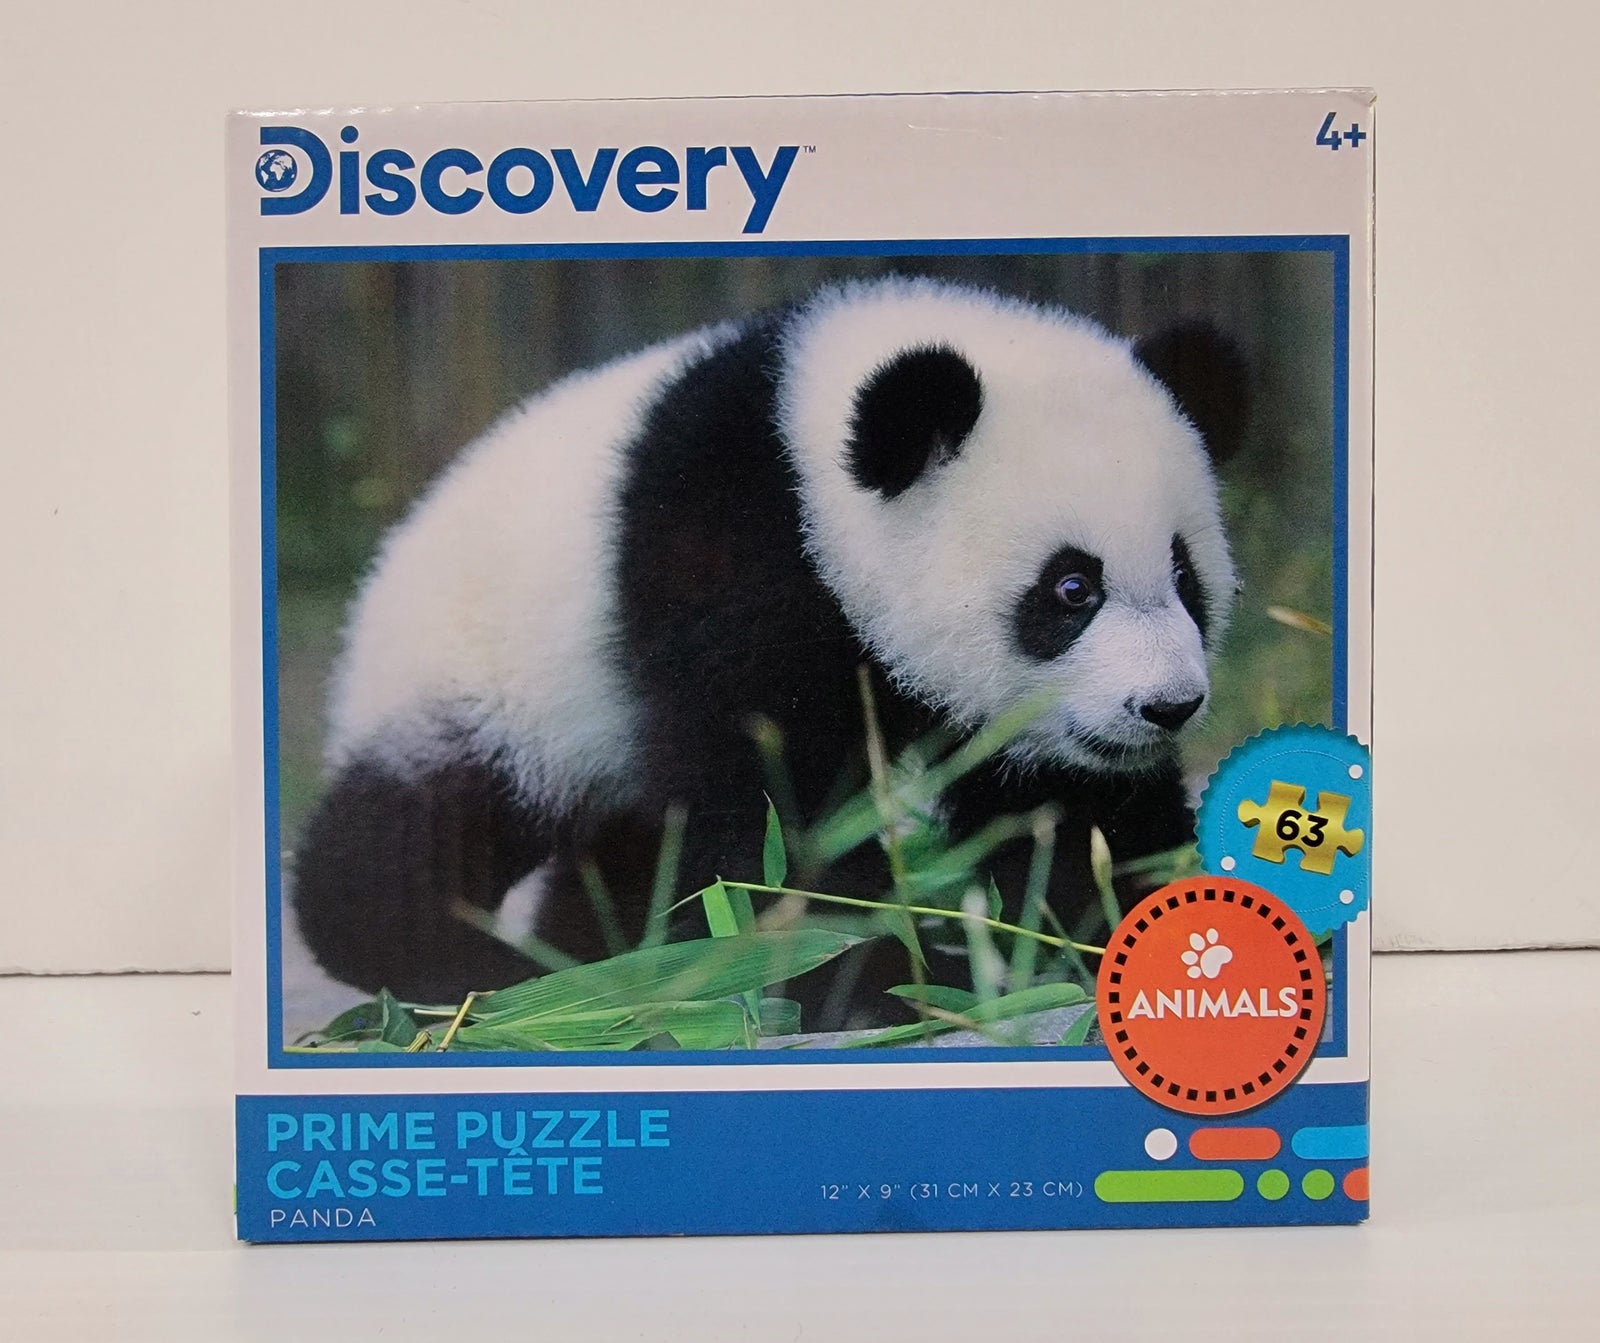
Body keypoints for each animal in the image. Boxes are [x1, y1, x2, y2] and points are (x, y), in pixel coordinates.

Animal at [291, 275, 1250, 1028]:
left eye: (1185, 576)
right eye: (1071, 589)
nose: (1168, 706)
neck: (809, 462)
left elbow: (1065, 810)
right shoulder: (733, 558)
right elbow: (769, 811)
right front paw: (858, 977)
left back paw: (603, 949)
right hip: (483, 683)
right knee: (423, 828)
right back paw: (451, 963)